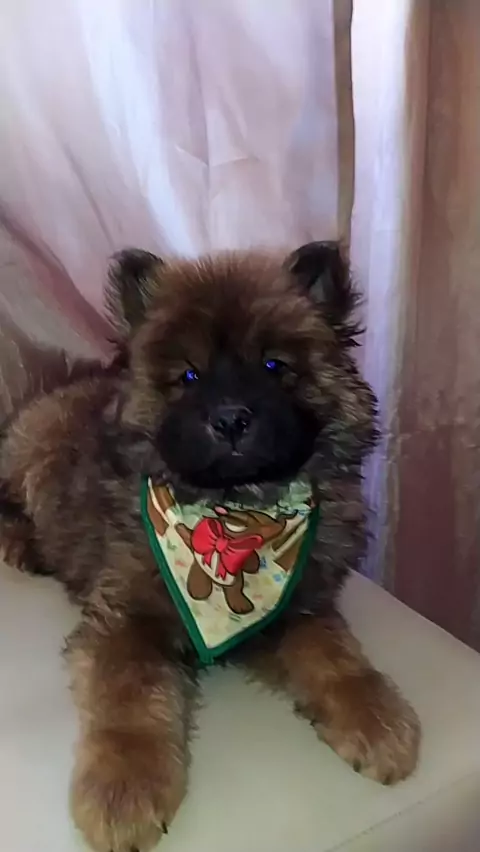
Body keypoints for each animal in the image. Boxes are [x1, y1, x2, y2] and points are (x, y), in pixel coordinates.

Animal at [0, 242, 420, 852]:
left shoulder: (302, 603)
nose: (229, 419)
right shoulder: (126, 617)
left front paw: (374, 715)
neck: (236, 519)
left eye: (274, 367)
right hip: (29, 450)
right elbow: (127, 702)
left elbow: (337, 658)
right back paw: (22, 543)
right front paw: (123, 786)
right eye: (189, 376)